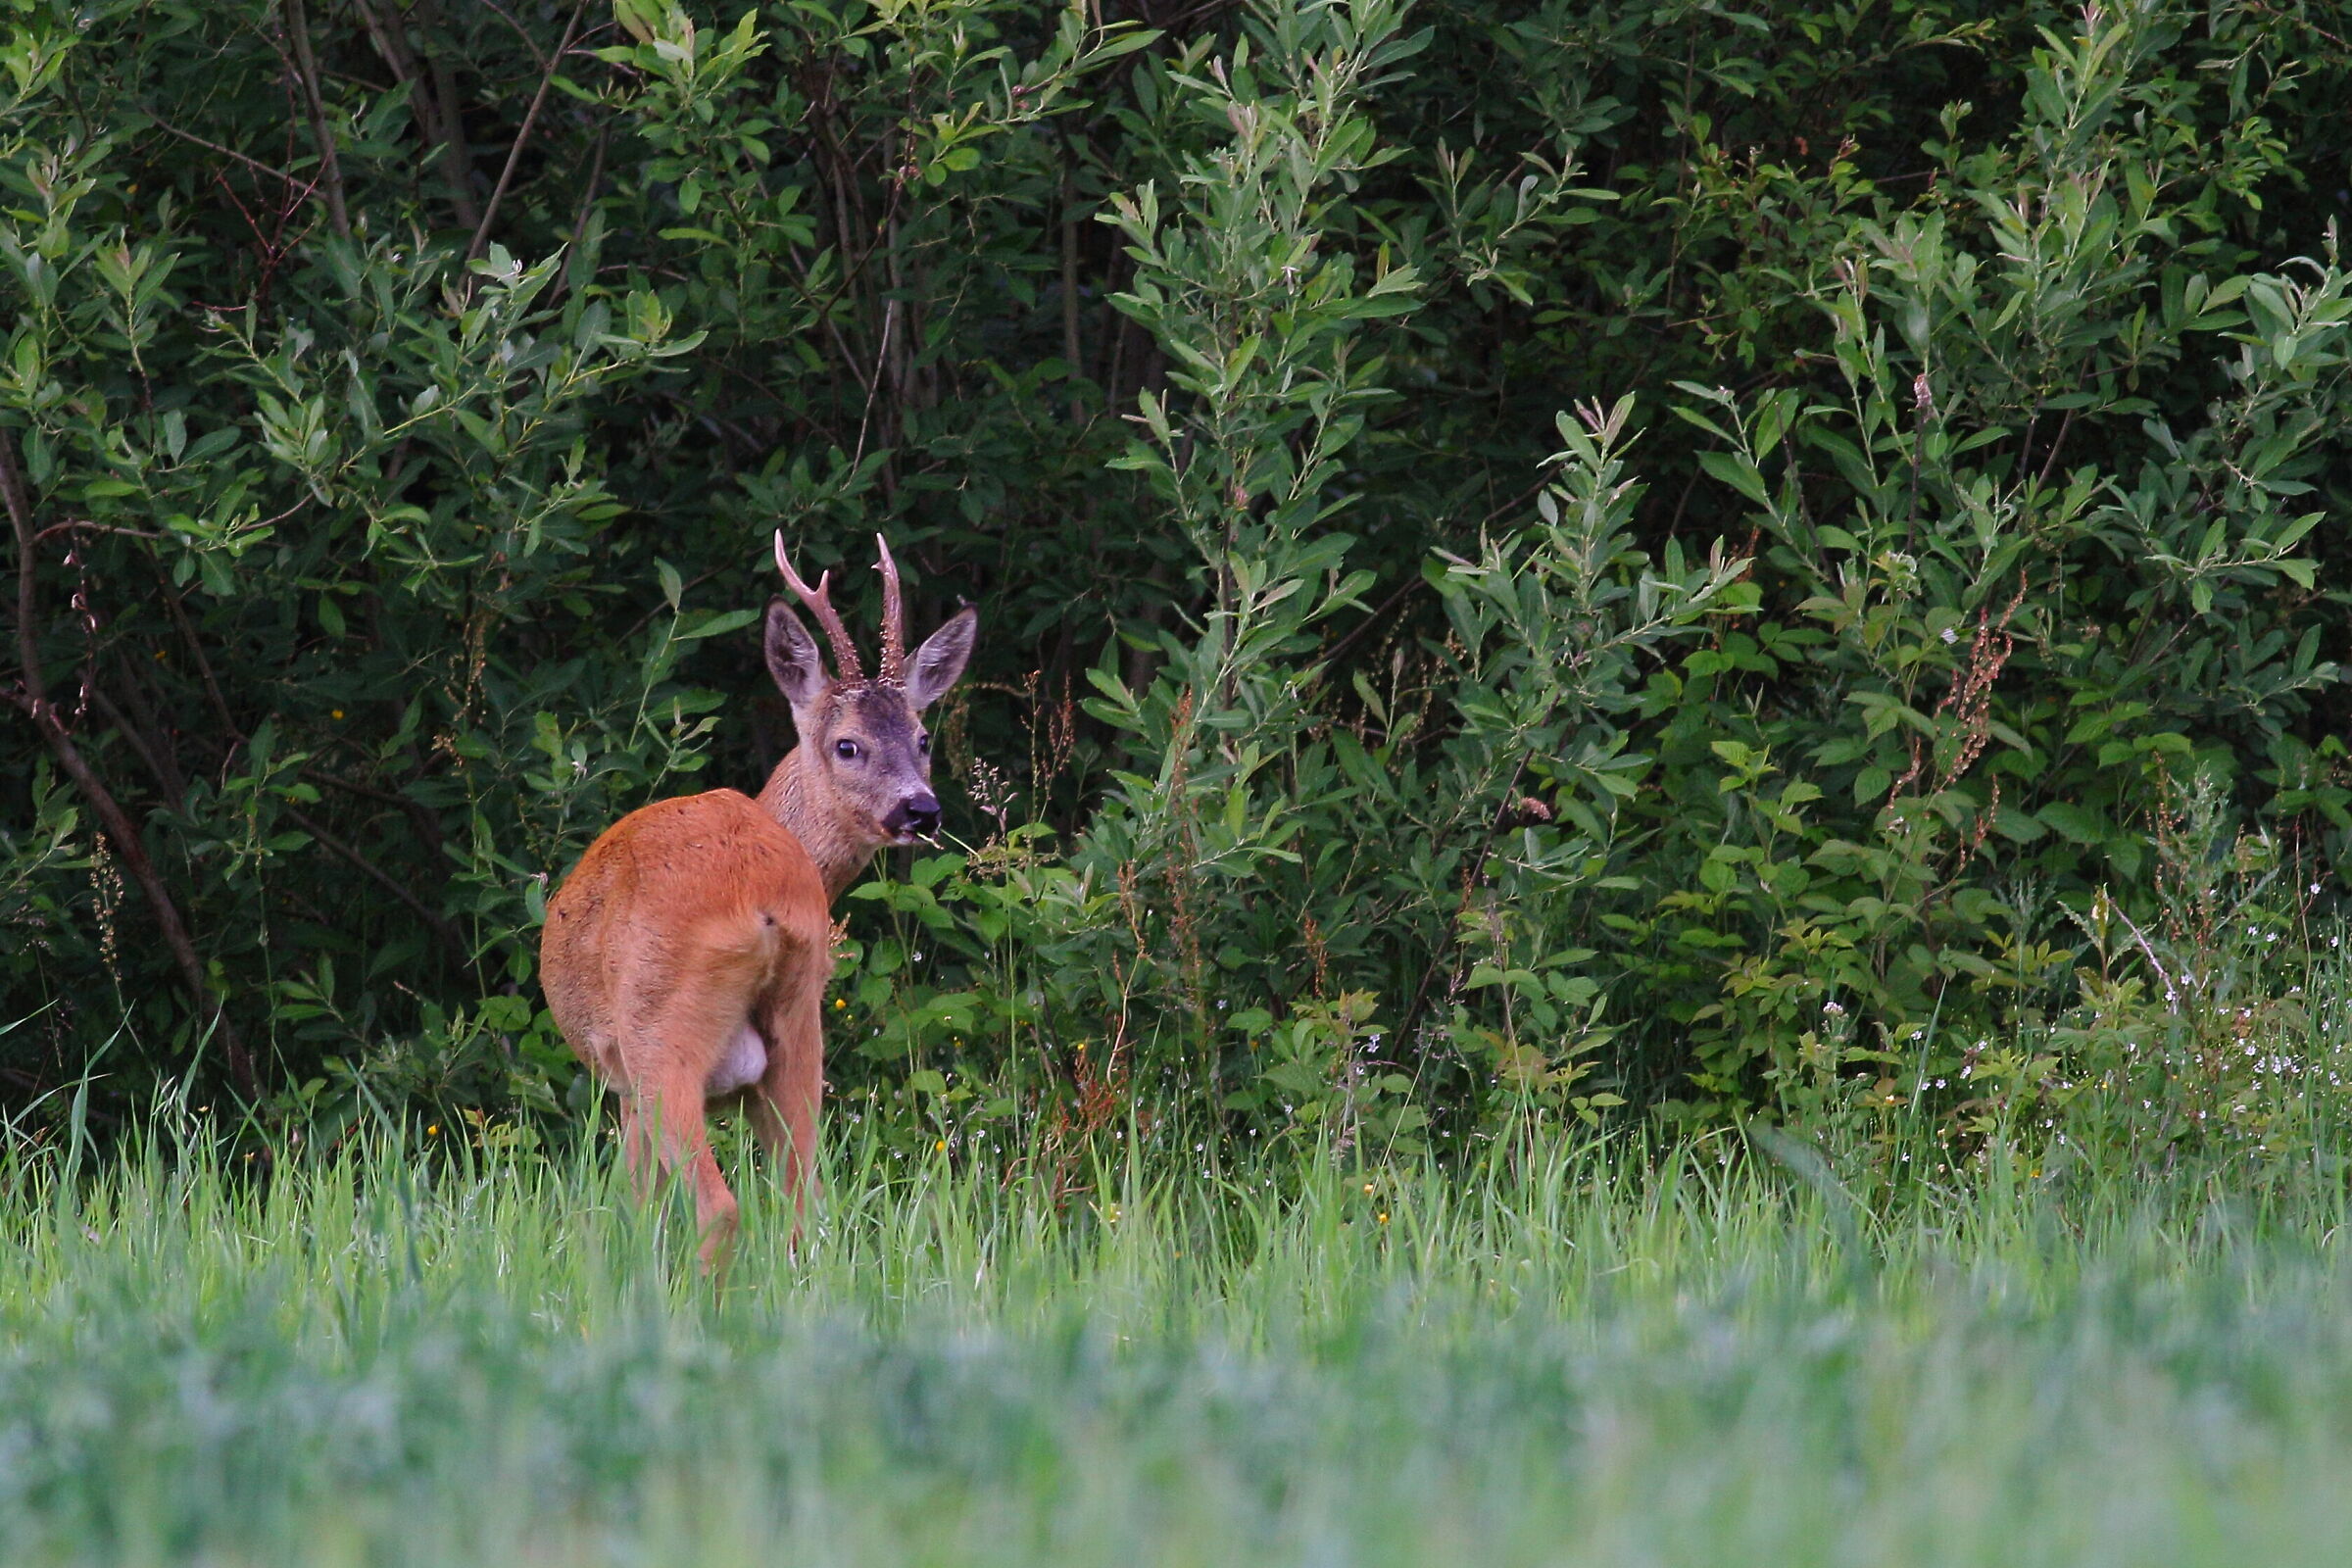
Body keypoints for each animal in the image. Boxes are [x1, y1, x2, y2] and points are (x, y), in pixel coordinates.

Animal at [540, 533, 976, 1268]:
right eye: (849, 744)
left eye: (921, 738)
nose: (920, 809)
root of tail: (763, 904)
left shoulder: (621, 1075)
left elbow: (631, 1206)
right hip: (802, 1024)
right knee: (809, 1208)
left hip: (660, 1036)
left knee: (719, 1208)